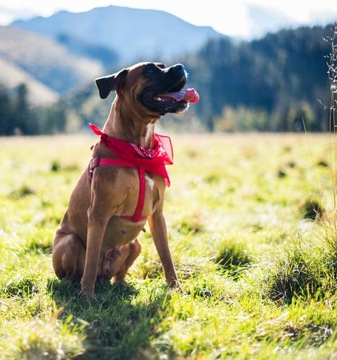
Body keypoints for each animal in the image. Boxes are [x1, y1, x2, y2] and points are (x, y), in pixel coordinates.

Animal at [51, 62, 198, 298]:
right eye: (150, 70)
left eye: (163, 66)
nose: (180, 66)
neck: (138, 151)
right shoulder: (98, 213)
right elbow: (91, 259)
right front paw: (87, 297)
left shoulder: (157, 215)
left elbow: (166, 256)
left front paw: (176, 288)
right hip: (69, 242)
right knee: (77, 272)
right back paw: (76, 288)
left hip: (135, 245)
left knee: (118, 273)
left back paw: (122, 285)